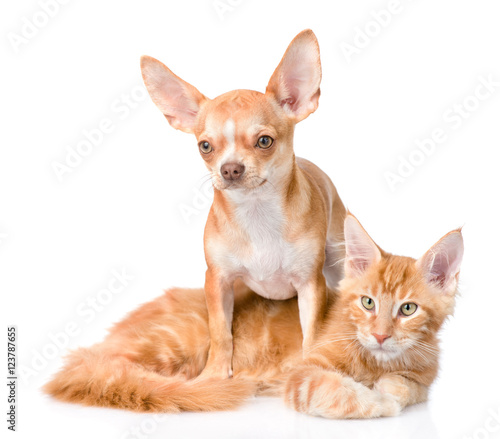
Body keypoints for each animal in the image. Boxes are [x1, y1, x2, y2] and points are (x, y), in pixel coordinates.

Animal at [45, 215, 462, 422]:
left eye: (407, 309)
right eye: (368, 302)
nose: (380, 336)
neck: (375, 360)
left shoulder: (422, 378)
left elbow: (406, 386)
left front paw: (389, 389)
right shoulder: (302, 374)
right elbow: (339, 391)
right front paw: (375, 400)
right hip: (181, 341)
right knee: (118, 372)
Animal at [140, 29, 344, 378]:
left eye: (264, 141)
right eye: (205, 146)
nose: (230, 169)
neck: (256, 213)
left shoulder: (310, 285)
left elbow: (312, 333)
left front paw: (308, 367)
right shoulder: (217, 282)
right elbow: (220, 331)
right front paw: (215, 373)